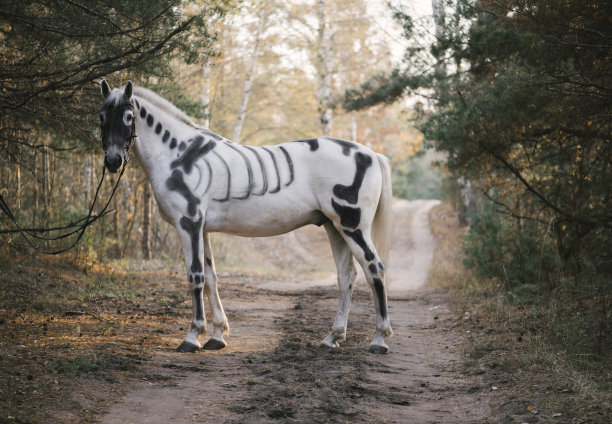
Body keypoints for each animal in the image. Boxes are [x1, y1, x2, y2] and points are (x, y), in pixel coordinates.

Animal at [95, 79, 392, 354]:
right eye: (101, 116)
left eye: (129, 116)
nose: (113, 161)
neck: (180, 154)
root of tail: (371, 154)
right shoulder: (202, 229)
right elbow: (211, 279)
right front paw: (217, 335)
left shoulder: (188, 223)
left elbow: (195, 277)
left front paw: (193, 336)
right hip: (334, 227)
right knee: (346, 276)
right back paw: (333, 337)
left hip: (353, 226)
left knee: (374, 269)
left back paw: (379, 339)